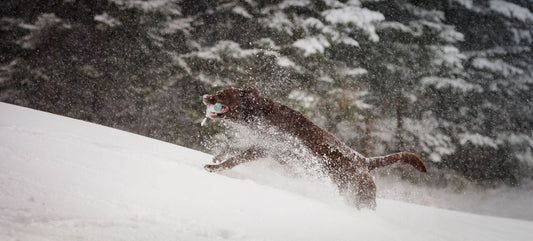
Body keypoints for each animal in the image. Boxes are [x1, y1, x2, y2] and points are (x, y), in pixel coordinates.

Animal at [202, 86, 426, 209]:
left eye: (220, 94)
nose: (204, 96)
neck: (259, 113)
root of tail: (364, 160)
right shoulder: (258, 142)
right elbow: (231, 147)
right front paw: (216, 156)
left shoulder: (264, 148)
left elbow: (234, 159)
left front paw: (214, 168)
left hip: (360, 194)